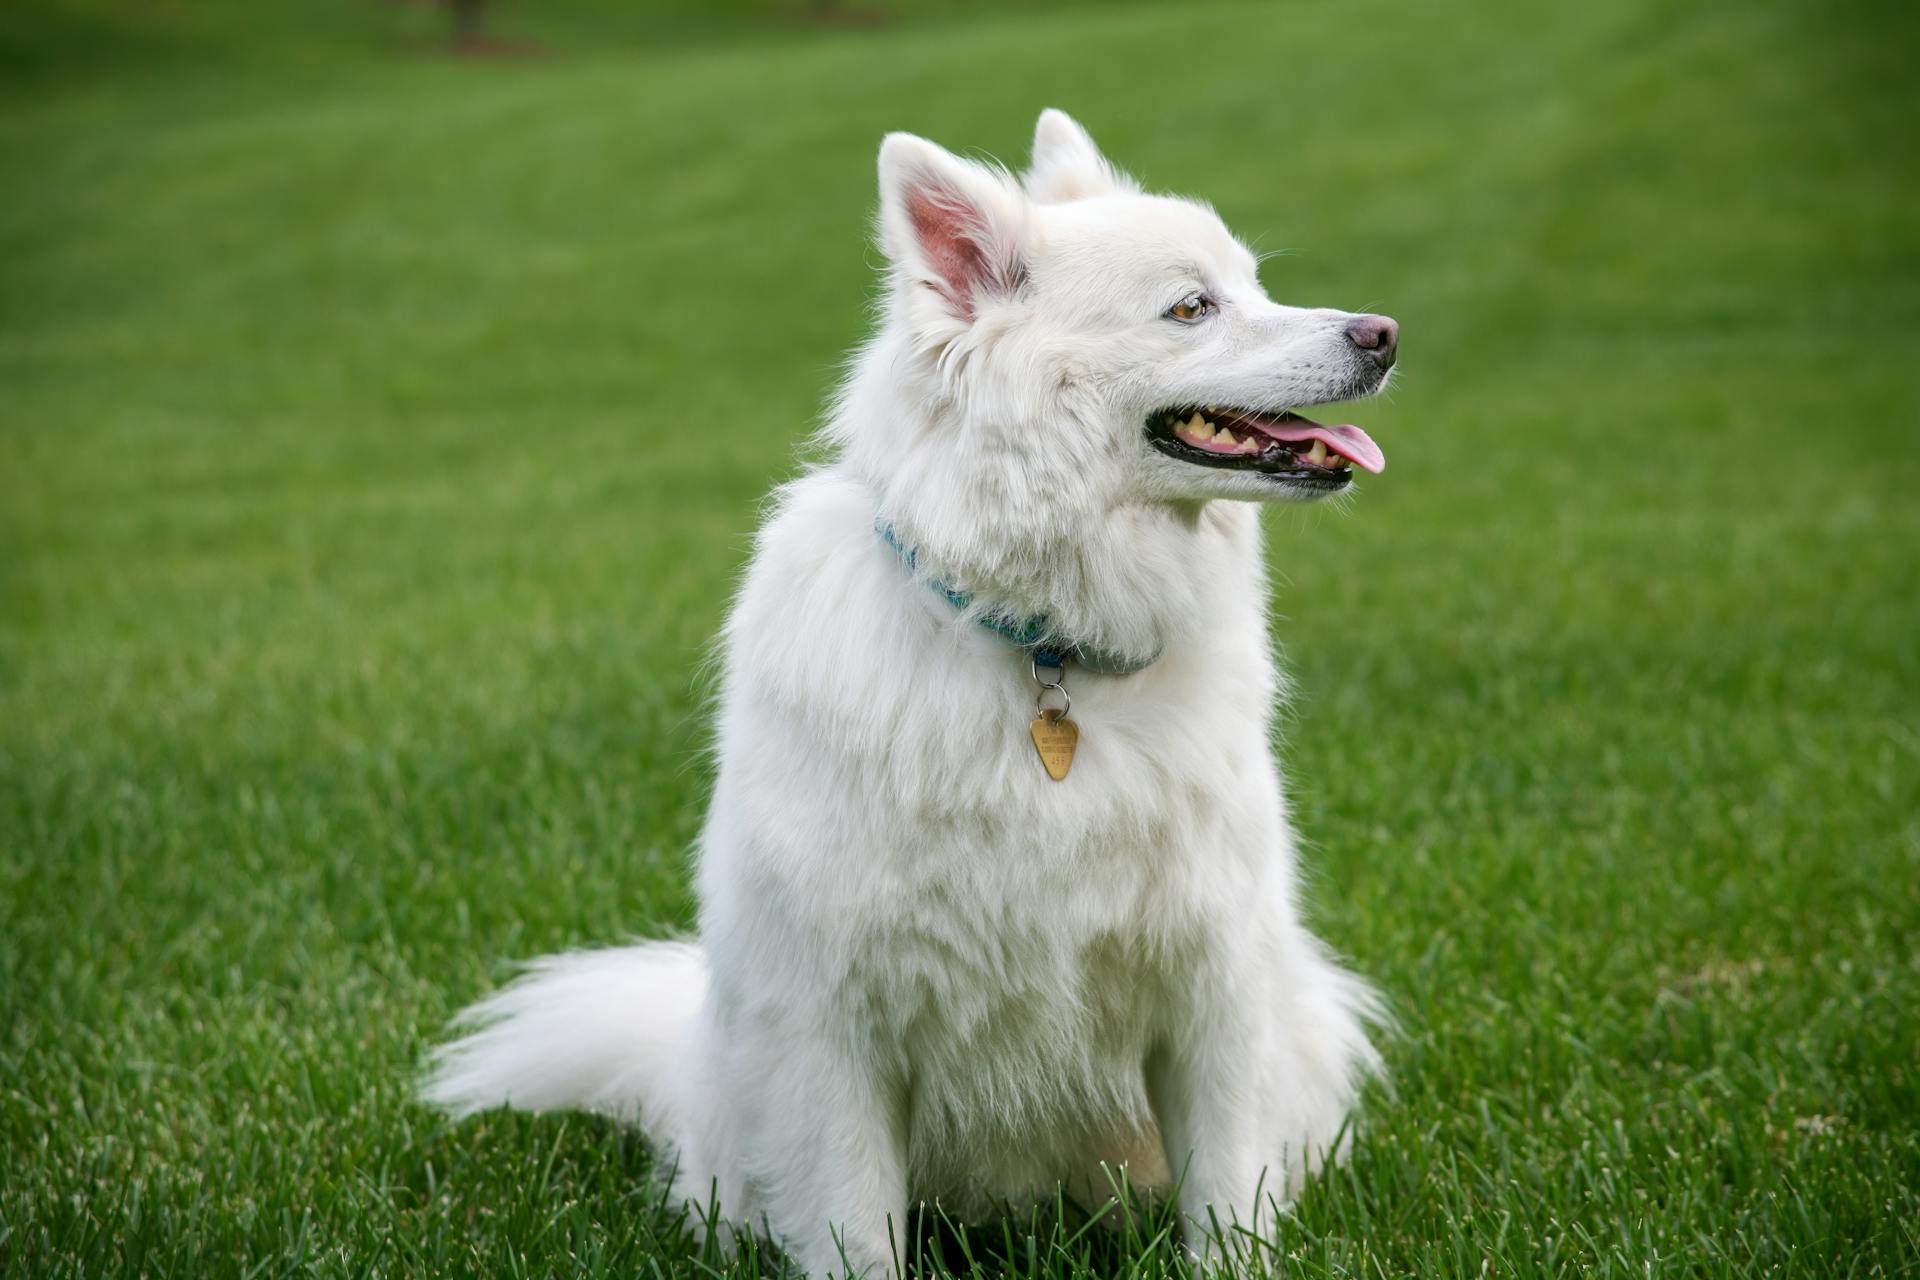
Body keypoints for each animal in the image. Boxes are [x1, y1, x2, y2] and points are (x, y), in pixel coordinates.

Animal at [428, 112, 1397, 1280]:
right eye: (1191, 306)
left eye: (1252, 283)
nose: (1384, 333)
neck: (1041, 648)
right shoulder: (835, 1030)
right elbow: (857, 1231)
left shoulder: (1214, 997)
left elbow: (1225, 1212)